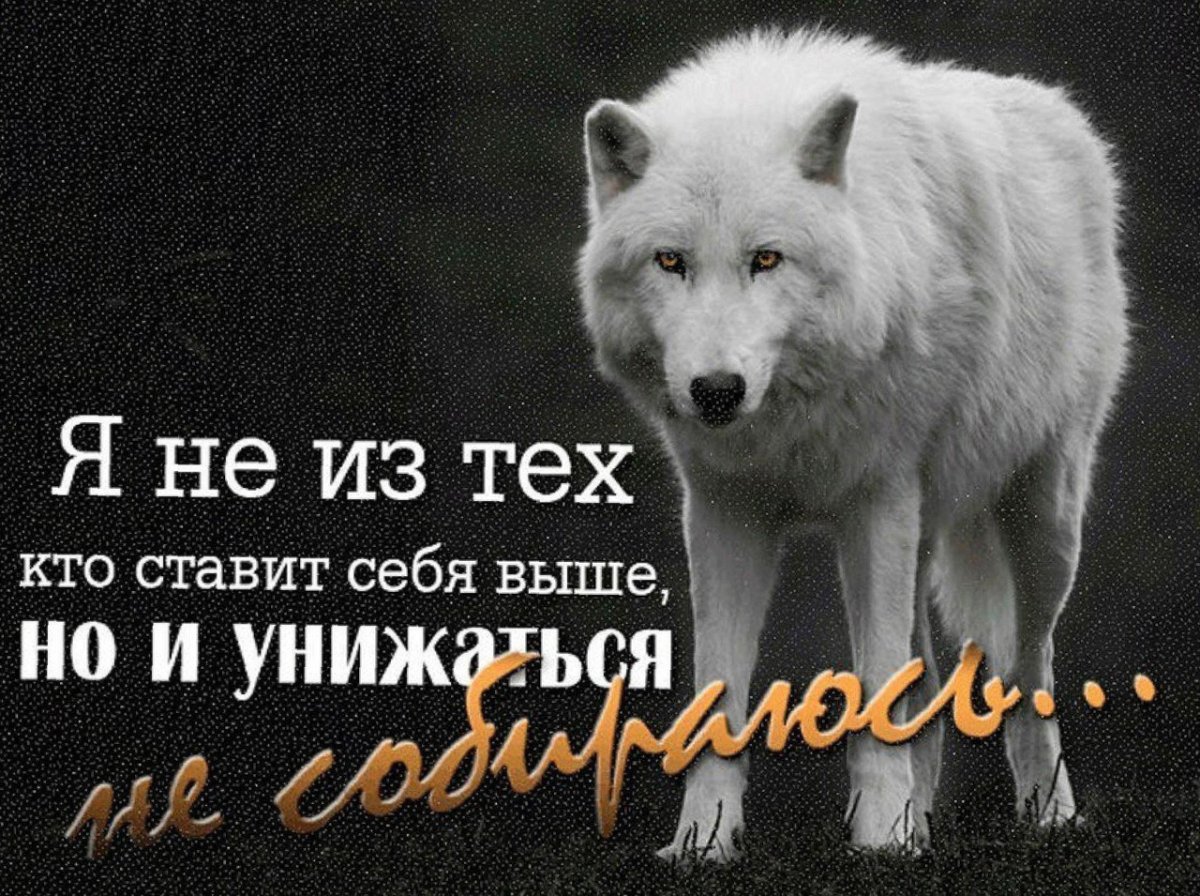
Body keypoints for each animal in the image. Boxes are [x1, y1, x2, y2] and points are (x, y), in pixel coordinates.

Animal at [577, 29, 1128, 859]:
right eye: (670, 261)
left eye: (766, 258)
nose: (716, 390)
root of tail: (1066, 114)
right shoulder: (723, 514)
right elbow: (721, 702)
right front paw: (705, 843)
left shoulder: (876, 504)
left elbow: (875, 693)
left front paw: (875, 845)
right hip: (925, 533)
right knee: (926, 690)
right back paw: (919, 825)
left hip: (1042, 525)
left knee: (1029, 673)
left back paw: (1047, 819)